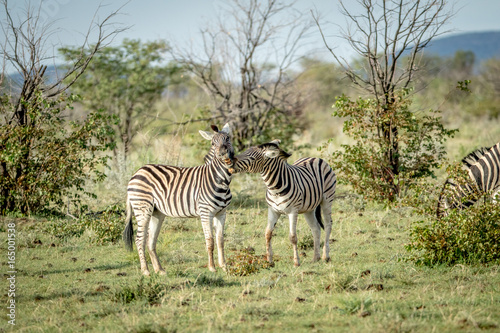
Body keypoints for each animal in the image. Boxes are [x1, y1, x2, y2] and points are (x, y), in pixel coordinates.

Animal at [124, 123, 235, 274]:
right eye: (213, 143)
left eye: (228, 139)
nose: (223, 153)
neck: (220, 180)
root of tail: (137, 172)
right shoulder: (206, 213)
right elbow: (210, 240)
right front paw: (212, 267)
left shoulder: (222, 213)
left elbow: (220, 240)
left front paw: (223, 266)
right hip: (143, 208)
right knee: (139, 239)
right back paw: (145, 271)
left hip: (157, 212)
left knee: (150, 241)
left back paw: (160, 270)